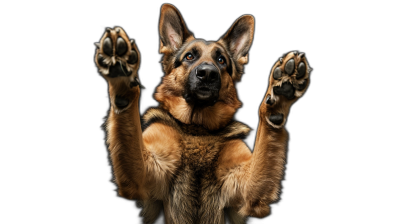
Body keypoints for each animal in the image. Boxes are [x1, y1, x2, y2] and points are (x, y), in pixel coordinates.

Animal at [95, 2, 310, 223]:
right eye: (190, 56)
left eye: (221, 60)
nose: (207, 73)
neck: (197, 128)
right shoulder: (142, 175)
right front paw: (122, 75)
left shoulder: (250, 189)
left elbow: (265, 144)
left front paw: (278, 98)